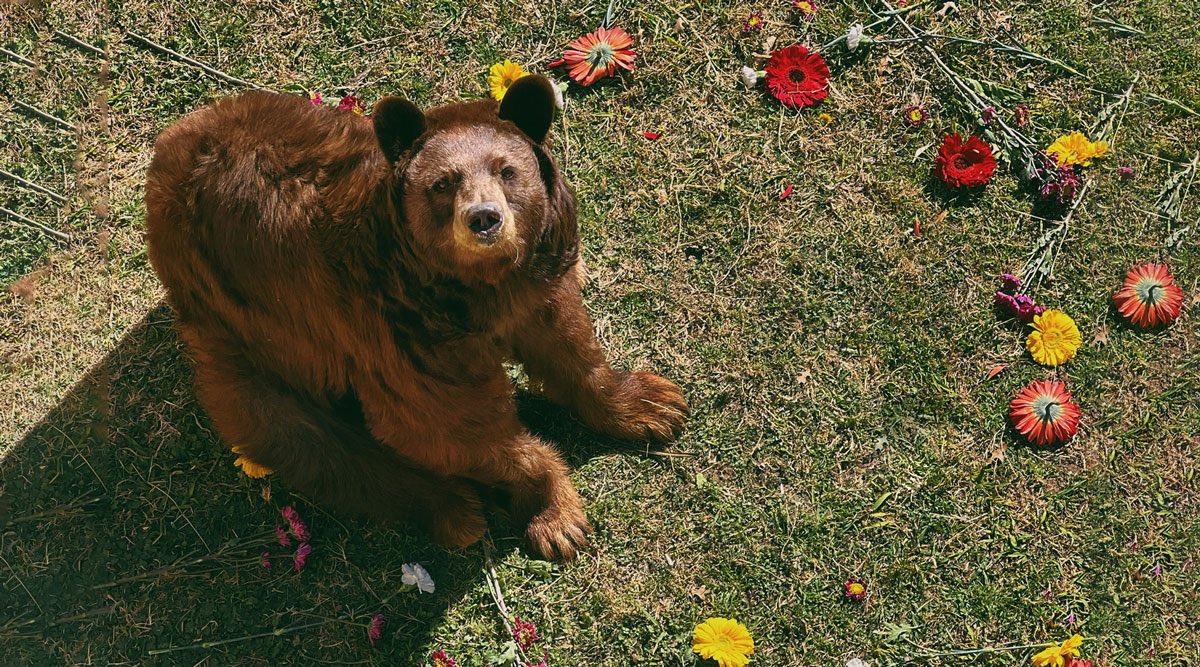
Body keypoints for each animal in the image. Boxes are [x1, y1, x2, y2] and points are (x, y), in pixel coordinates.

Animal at [143, 76, 687, 560]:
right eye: (443, 183)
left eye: (507, 170)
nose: (484, 218)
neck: (474, 289)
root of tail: (164, 153)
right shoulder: (399, 336)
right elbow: (443, 427)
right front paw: (556, 516)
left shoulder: (535, 284)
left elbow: (569, 343)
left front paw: (655, 404)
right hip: (244, 329)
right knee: (309, 441)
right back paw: (453, 508)